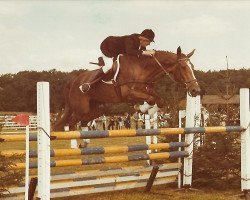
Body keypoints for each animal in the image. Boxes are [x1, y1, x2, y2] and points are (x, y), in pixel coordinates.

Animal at [53, 46, 201, 131]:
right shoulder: (128, 93)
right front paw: (143, 108)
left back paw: (85, 143)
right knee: (72, 122)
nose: (196, 90)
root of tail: (72, 82)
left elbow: (159, 100)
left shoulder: (146, 89)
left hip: (98, 108)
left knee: (83, 121)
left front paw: (148, 111)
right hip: (81, 108)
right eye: (183, 67)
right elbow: (151, 99)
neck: (142, 68)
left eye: (192, 67)